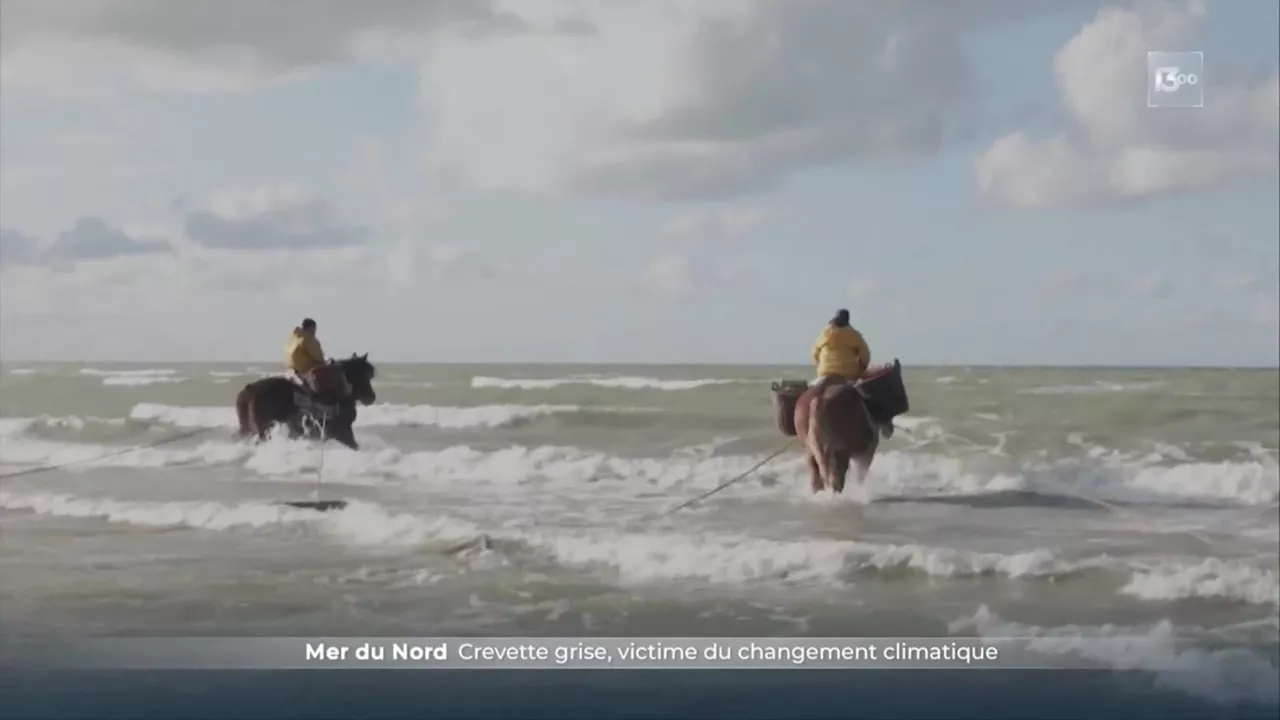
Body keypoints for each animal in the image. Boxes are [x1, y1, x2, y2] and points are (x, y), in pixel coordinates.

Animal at [235, 351, 376, 448]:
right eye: (363, 375)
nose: (371, 398)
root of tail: (250, 389)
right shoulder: (342, 433)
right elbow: (354, 446)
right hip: (263, 429)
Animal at [788, 361, 911, 489]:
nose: (889, 430)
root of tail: (820, 400)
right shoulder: (864, 455)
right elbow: (860, 477)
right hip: (841, 456)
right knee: (836, 483)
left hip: (813, 453)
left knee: (817, 481)